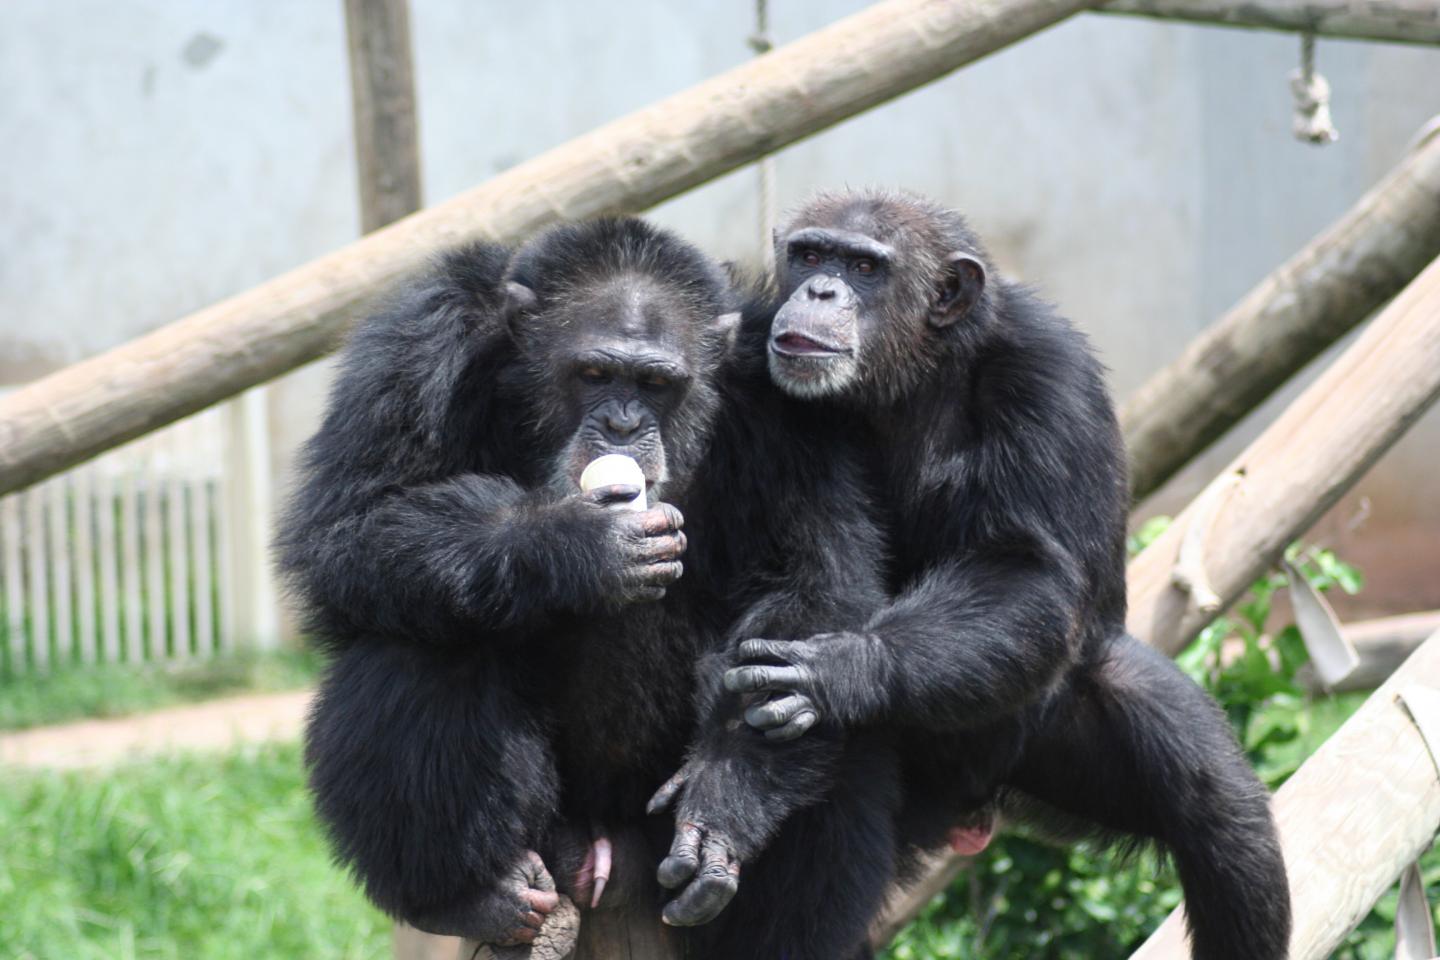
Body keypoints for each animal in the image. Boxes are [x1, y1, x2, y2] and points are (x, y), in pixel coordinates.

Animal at [275, 214, 892, 955]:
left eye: (654, 384)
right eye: (594, 374)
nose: (624, 424)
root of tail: (602, 848)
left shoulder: (787, 405)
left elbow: (814, 582)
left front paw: (724, 796)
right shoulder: (417, 344)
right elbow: (351, 529)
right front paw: (576, 542)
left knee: (831, 701)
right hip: (551, 829)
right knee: (418, 643)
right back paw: (472, 896)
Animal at [662, 189, 1296, 960]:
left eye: (865, 267)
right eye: (811, 255)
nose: (820, 290)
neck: (911, 372)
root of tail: (971, 801)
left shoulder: (1048, 378)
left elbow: (1023, 565)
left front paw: (843, 669)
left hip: (1050, 735)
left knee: (1220, 811)